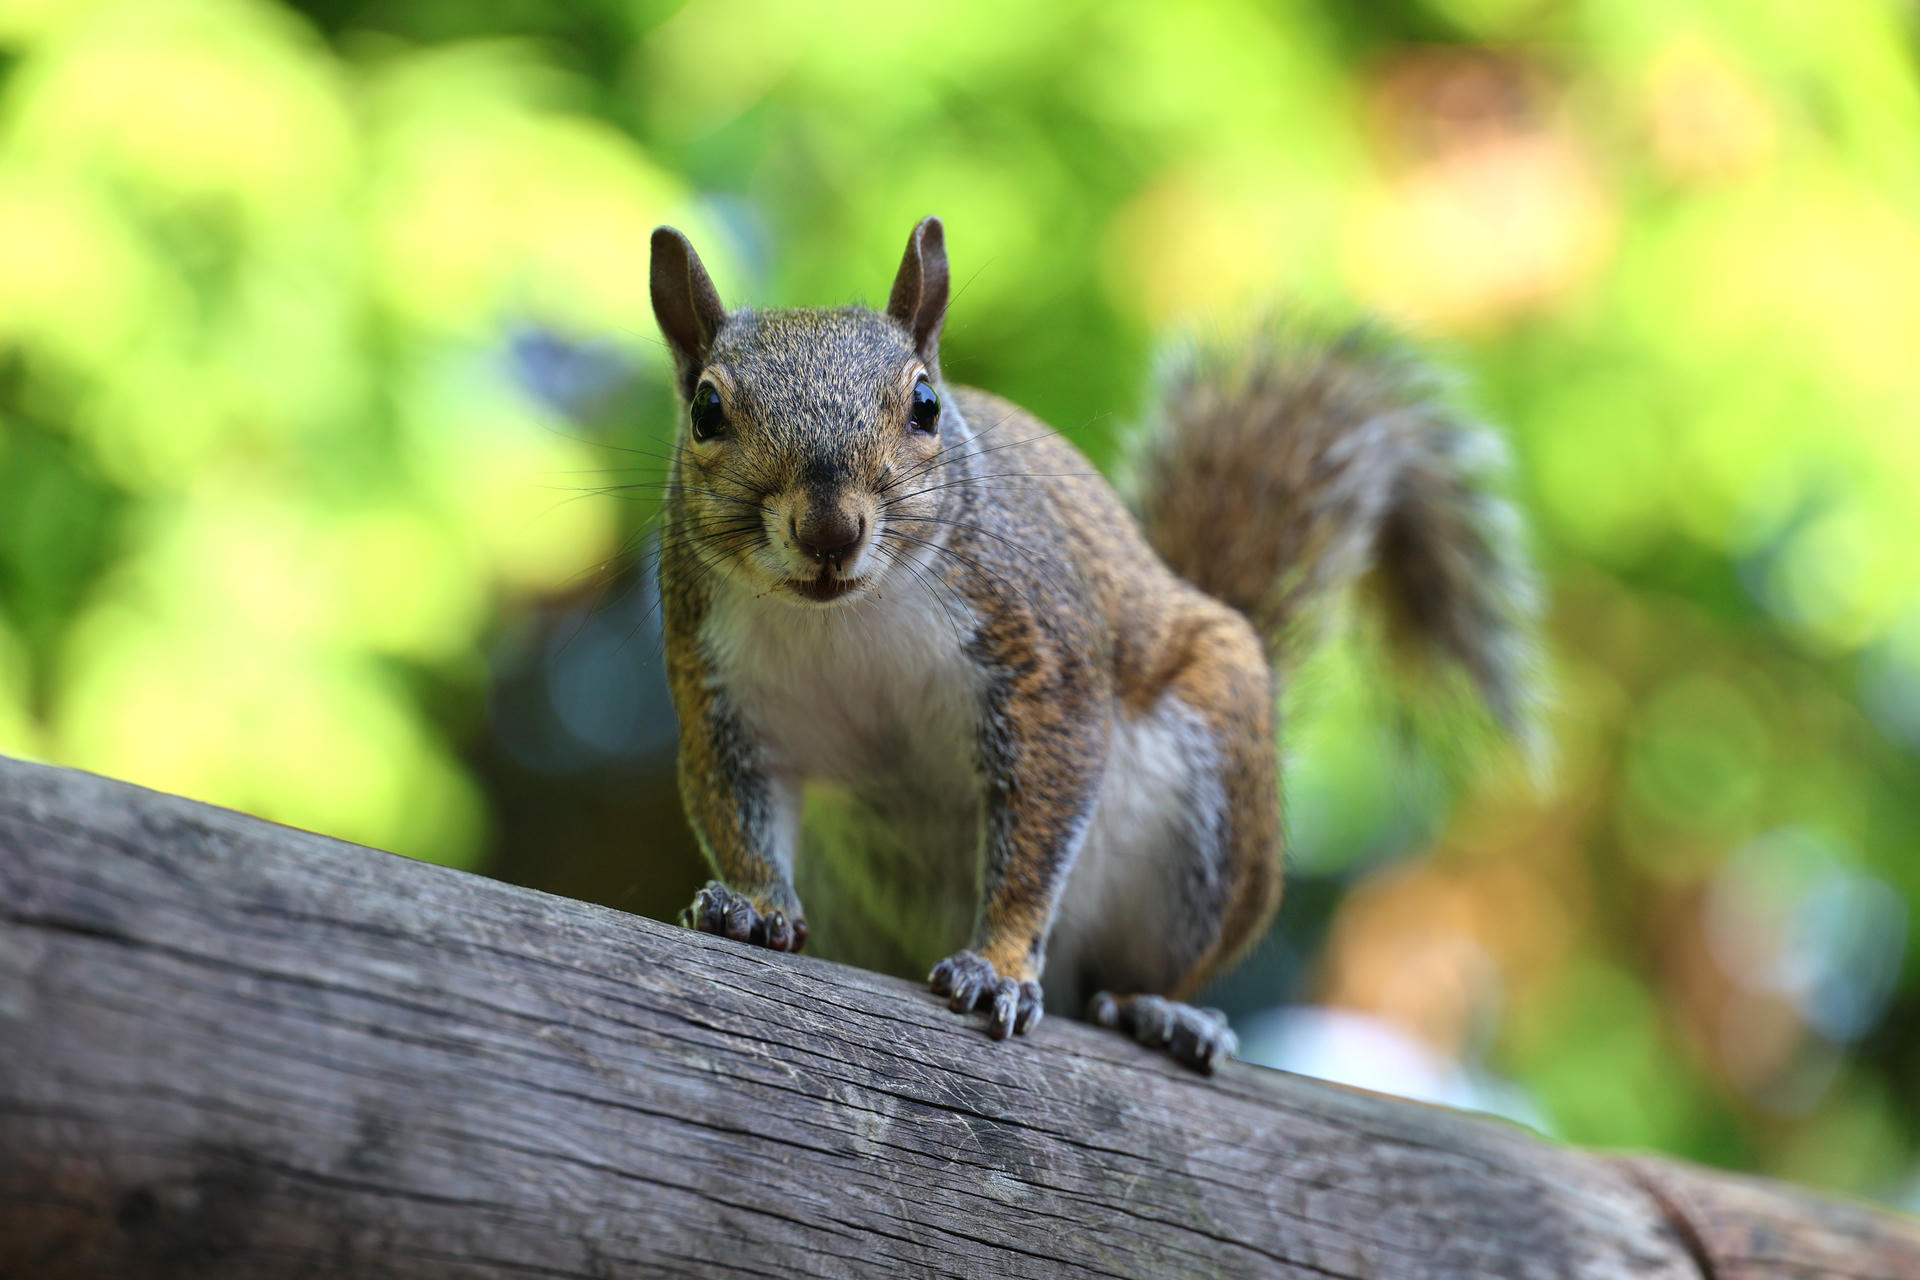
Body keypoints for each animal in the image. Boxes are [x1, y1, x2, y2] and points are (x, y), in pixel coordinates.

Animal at [652, 216, 1535, 1071]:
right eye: (706, 411)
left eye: (926, 403)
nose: (830, 531)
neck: (844, 615)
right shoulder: (720, 689)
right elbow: (738, 805)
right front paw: (752, 905)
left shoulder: (1039, 656)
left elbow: (1038, 829)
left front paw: (998, 966)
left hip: (1212, 804)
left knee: (1138, 973)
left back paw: (1163, 1012)